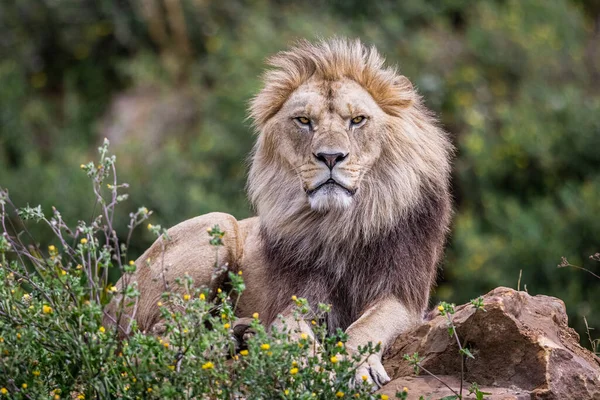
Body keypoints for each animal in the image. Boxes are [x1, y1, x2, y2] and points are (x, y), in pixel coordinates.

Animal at [104, 37, 450, 388]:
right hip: (219, 223)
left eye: (357, 120)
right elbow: (292, 330)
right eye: (304, 121)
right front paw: (311, 370)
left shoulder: (404, 295)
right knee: (154, 342)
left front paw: (356, 366)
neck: (341, 223)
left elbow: (369, 325)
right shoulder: (294, 301)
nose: (330, 157)